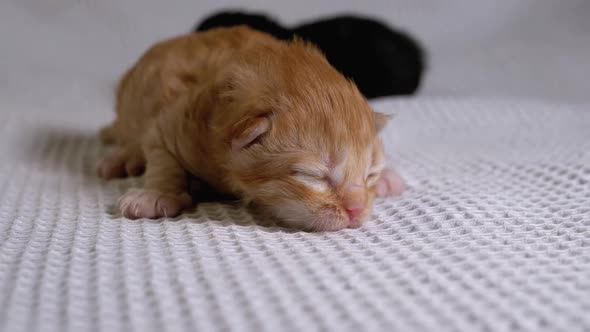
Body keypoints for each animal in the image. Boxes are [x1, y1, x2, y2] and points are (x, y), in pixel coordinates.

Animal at [98, 26, 408, 231]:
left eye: (370, 174)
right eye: (313, 176)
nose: (357, 210)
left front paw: (386, 179)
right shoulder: (169, 125)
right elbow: (164, 162)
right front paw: (157, 195)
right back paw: (120, 159)